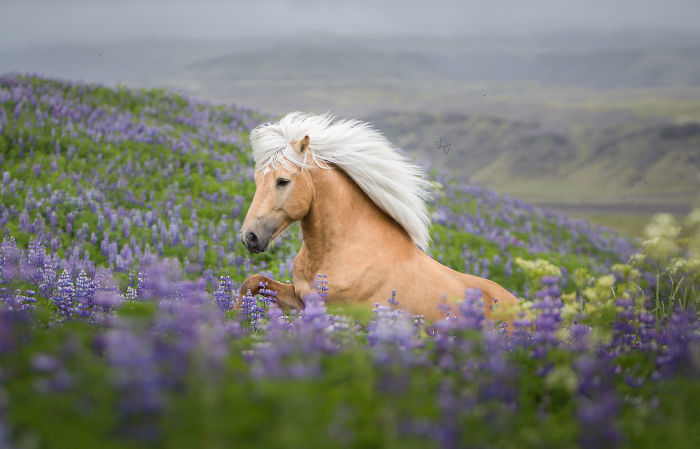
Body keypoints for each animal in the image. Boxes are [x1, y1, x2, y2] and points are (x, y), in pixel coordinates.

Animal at [238, 112, 516, 322]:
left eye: (283, 181)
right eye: (257, 178)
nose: (249, 237)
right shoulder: (300, 298)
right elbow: (253, 282)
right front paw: (236, 319)